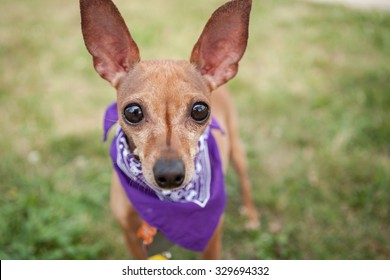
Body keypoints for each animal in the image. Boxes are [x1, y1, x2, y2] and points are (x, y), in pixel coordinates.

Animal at [80, 0, 258, 260]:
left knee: (245, 182)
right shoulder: (131, 237)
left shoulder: (211, 239)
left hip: (237, 151)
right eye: (133, 112)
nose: (170, 174)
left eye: (199, 110)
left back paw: (252, 215)